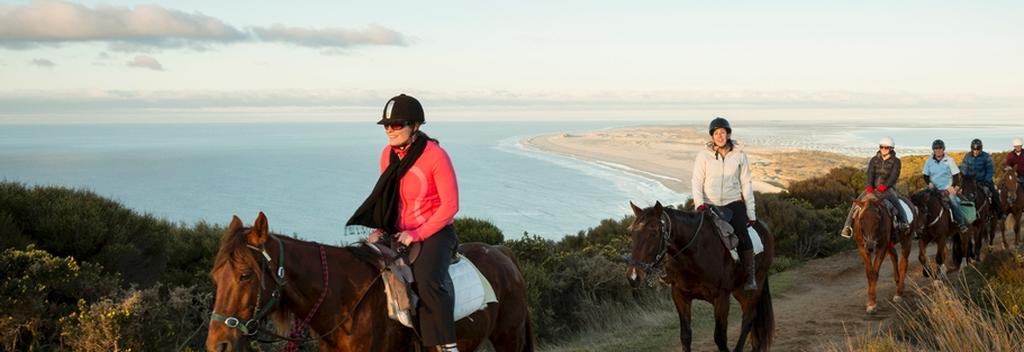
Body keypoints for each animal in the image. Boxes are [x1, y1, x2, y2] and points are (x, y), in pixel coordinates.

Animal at [203, 212, 532, 349]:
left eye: (245, 275)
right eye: (215, 277)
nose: (219, 344)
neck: (346, 303)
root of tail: (502, 253)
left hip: (508, 337)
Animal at [622, 200, 774, 352]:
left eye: (654, 232)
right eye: (632, 233)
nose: (633, 276)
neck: (694, 252)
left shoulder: (721, 297)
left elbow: (720, 338)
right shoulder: (680, 295)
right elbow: (685, 336)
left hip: (756, 284)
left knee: (748, 318)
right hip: (739, 289)